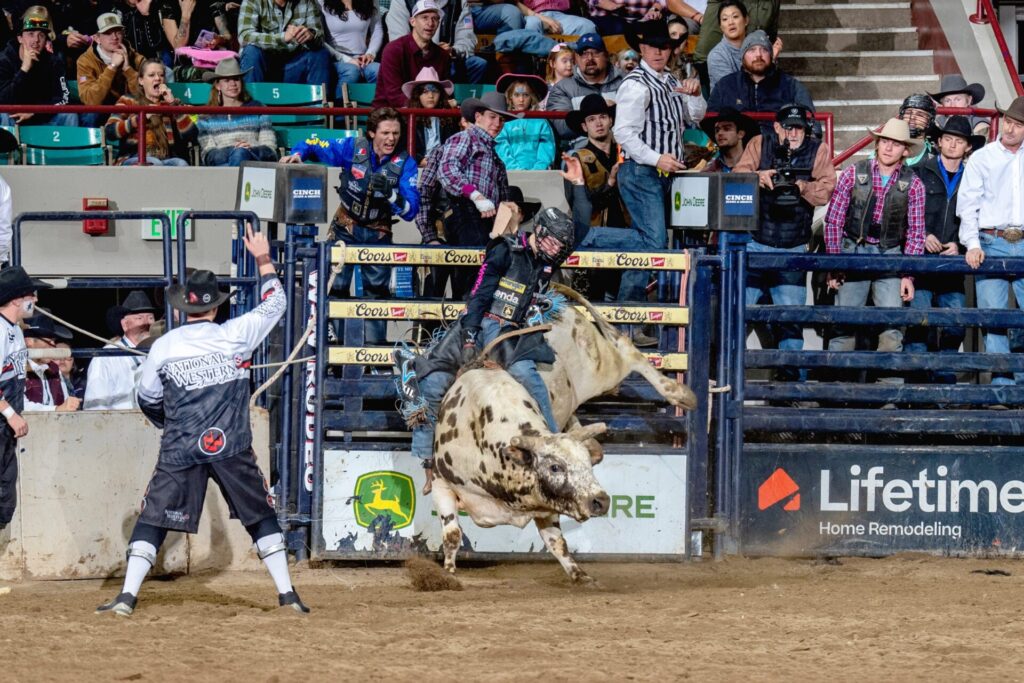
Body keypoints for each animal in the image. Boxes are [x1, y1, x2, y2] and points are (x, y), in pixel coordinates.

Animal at [423, 286, 696, 585]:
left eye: (584, 466)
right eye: (555, 466)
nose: (600, 501)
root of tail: (554, 302)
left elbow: (556, 540)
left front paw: (579, 574)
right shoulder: (442, 484)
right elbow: (452, 534)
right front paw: (448, 574)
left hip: (599, 365)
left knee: (626, 349)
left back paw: (681, 395)